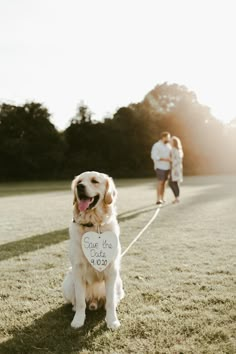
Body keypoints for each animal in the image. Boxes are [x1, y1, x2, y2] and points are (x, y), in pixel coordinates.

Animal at [62, 171, 125, 330]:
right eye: (79, 181)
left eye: (95, 181)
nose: (79, 187)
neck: (93, 223)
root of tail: (94, 301)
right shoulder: (77, 270)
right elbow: (80, 302)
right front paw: (78, 320)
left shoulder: (111, 271)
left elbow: (110, 302)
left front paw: (112, 321)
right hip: (68, 283)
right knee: (77, 301)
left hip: (118, 283)